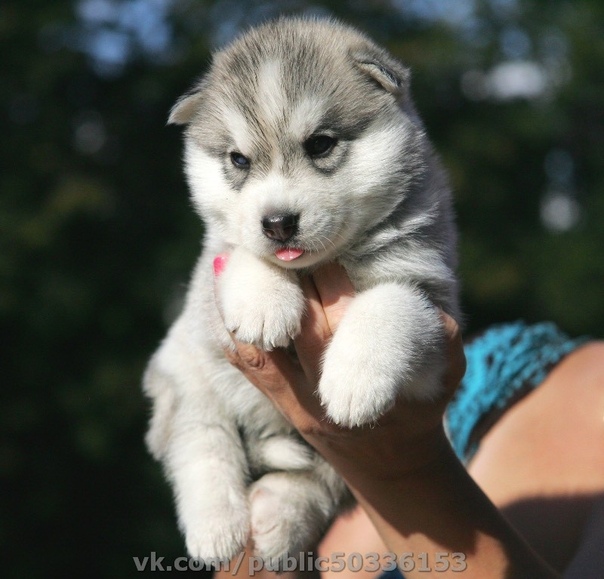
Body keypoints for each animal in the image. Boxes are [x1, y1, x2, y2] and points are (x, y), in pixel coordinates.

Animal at [143, 16, 459, 563]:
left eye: (320, 144)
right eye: (238, 160)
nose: (277, 223)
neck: (322, 264)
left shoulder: (434, 313)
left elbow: (392, 301)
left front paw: (354, 379)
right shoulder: (206, 305)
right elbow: (238, 252)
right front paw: (263, 301)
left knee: (316, 480)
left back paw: (278, 516)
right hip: (184, 370)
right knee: (200, 440)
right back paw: (217, 526)